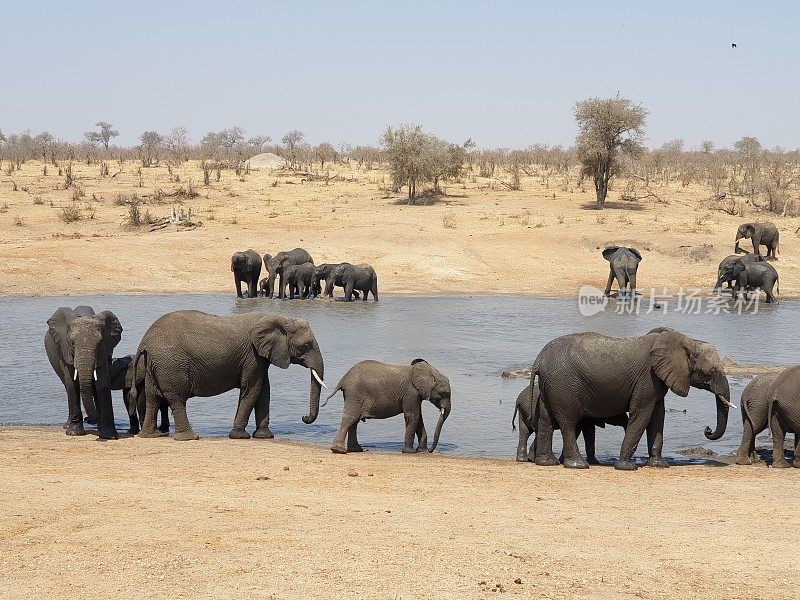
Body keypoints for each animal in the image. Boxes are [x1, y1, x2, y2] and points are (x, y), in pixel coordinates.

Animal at [44, 308, 123, 438]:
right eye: (71, 342)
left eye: (99, 342)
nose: (88, 419)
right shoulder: (65, 351)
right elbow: (72, 385)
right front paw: (74, 433)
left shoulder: (104, 351)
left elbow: (102, 385)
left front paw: (109, 436)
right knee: (67, 386)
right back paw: (68, 426)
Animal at [130, 310, 324, 440]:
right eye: (305, 346)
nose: (304, 418)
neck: (278, 318)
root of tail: (145, 342)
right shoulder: (252, 355)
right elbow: (252, 391)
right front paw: (240, 436)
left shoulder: (260, 358)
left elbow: (264, 391)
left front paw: (264, 436)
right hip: (171, 365)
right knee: (177, 399)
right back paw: (190, 437)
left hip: (153, 365)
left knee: (152, 397)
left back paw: (151, 435)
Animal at [532, 326, 732, 472]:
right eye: (710, 373)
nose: (707, 429)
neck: (687, 342)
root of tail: (539, 359)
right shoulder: (647, 378)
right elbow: (642, 415)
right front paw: (627, 467)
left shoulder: (657, 381)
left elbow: (658, 417)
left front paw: (659, 466)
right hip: (563, 386)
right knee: (568, 422)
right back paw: (578, 465)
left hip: (550, 386)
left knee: (545, 420)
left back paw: (547, 462)